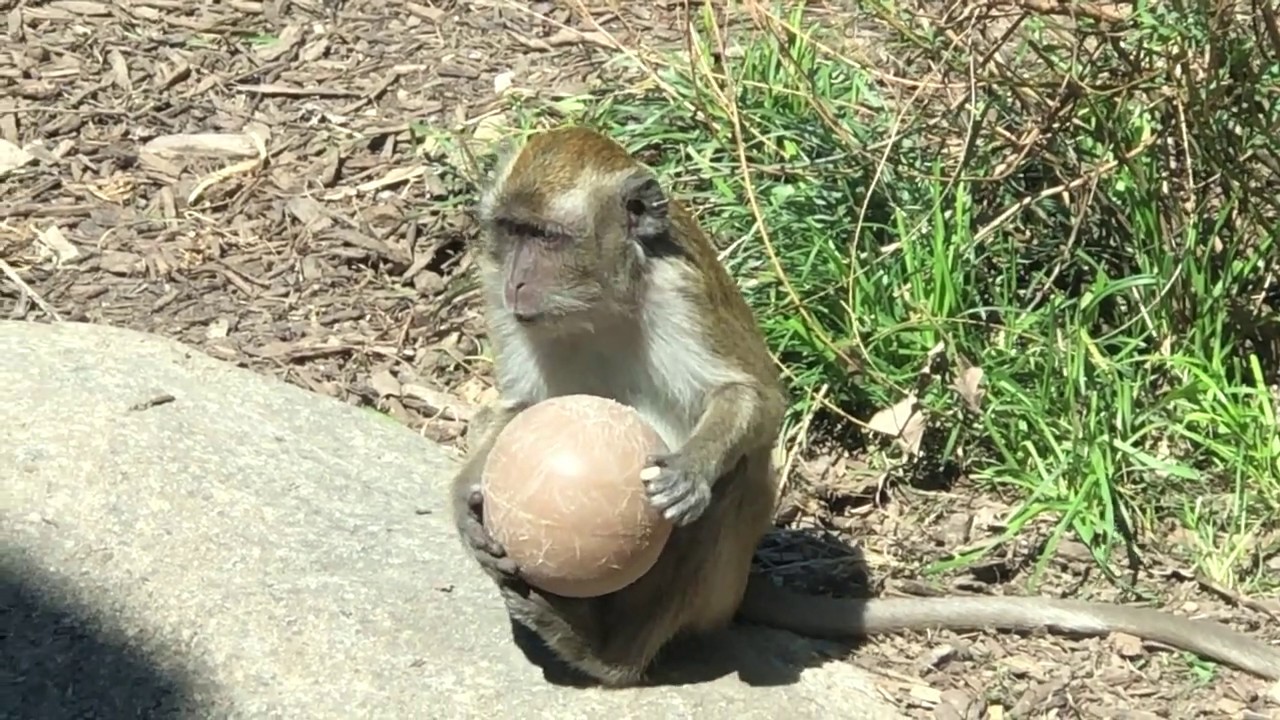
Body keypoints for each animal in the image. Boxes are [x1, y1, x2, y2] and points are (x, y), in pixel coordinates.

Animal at [449, 125, 1280, 688]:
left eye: (548, 237)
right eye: (510, 234)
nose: (518, 280)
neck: (601, 304)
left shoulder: (680, 292)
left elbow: (753, 400)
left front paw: (691, 468)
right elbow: (513, 407)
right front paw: (465, 503)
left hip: (716, 579)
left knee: (737, 485)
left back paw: (606, 653)